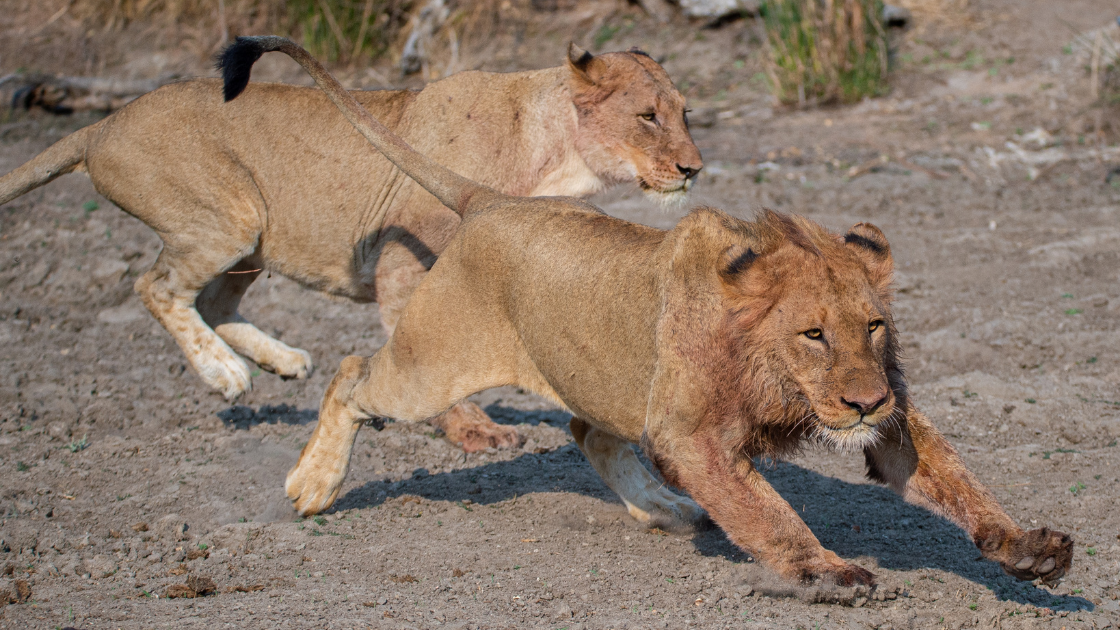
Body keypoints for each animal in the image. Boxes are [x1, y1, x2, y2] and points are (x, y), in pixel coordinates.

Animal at [222, 36, 1070, 587]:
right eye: (813, 334)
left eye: (874, 326)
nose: (864, 400)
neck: (776, 375)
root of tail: (492, 202)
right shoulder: (690, 435)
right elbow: (767, 513)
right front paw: (825, 570)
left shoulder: (889, 421)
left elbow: (958, 481)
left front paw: (1027, 548)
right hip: (432, 367)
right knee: (352, 372)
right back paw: (311, 486)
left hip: (601, 378)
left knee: (587, 433)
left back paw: (665, 510)